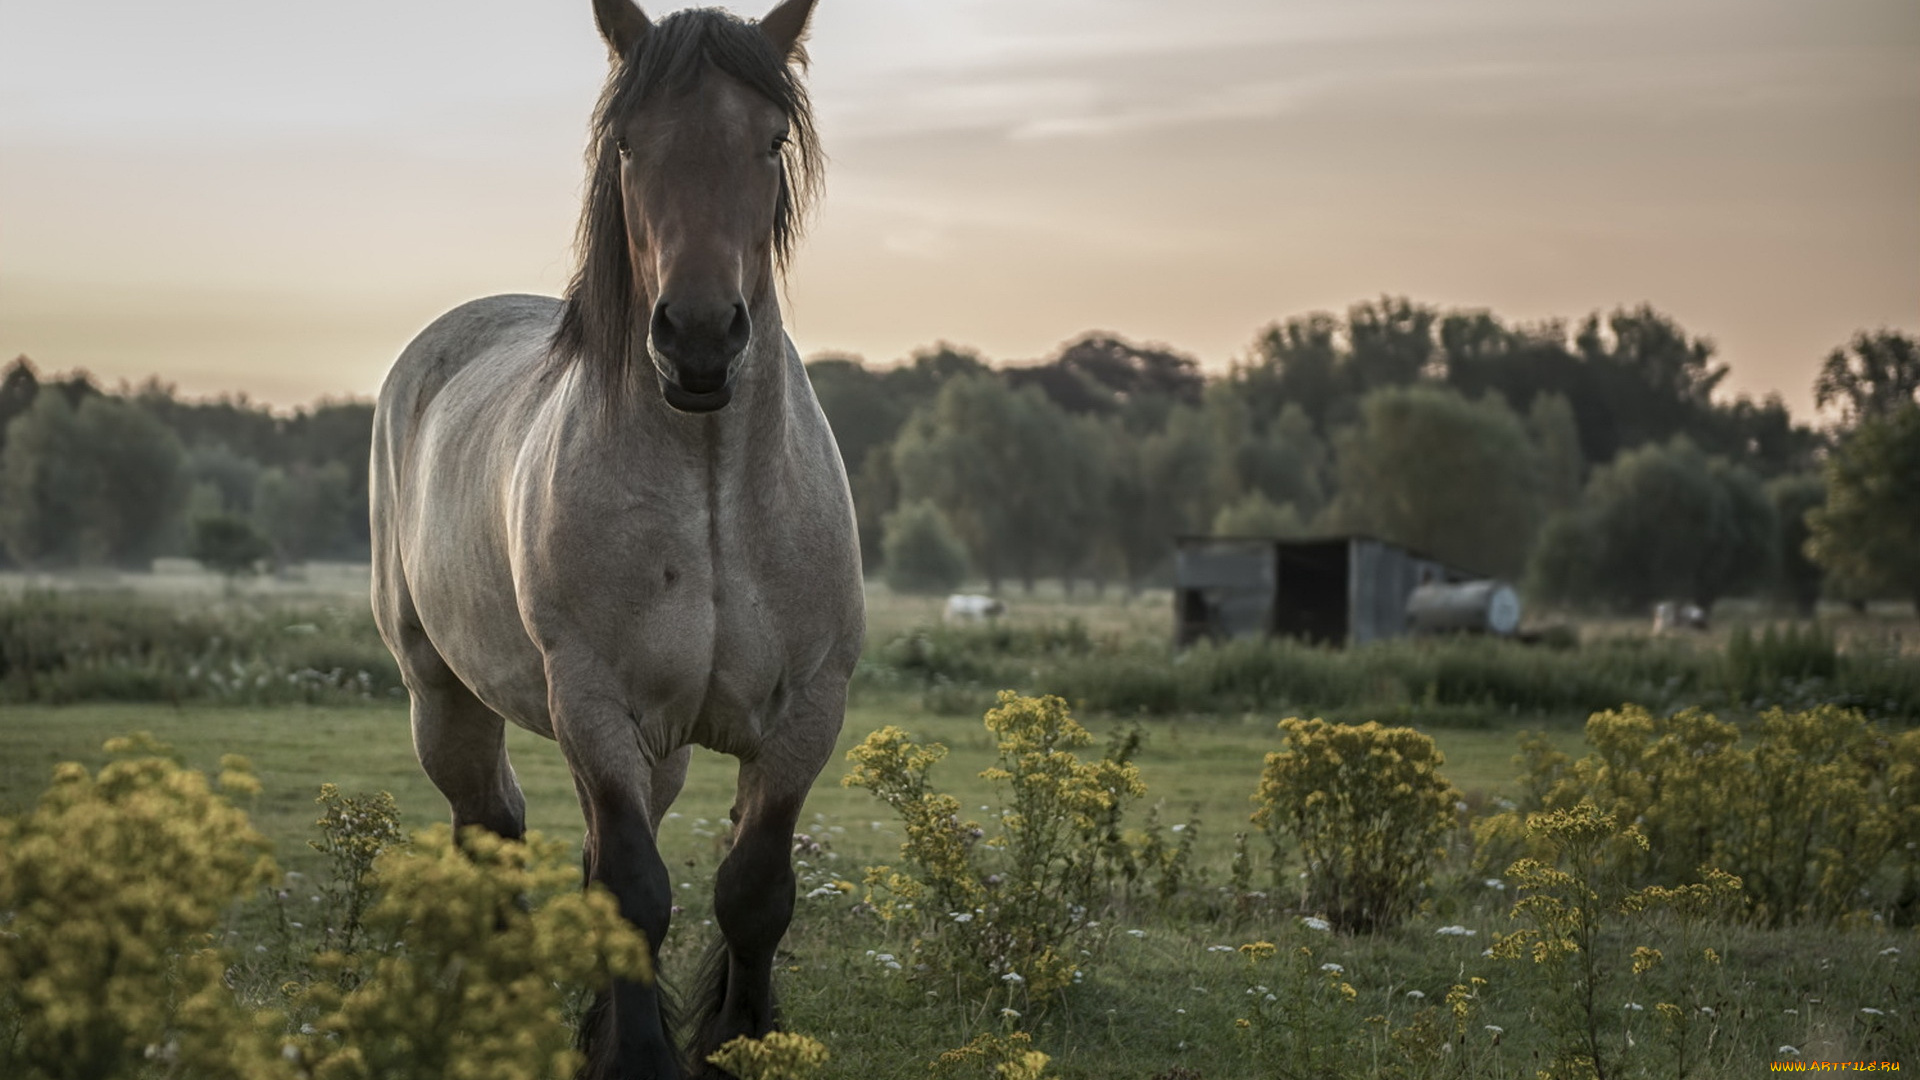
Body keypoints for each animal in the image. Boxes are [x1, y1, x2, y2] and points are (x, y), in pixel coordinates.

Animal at [368, 4, 864, 1068]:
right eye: (630, 144)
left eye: (771, 141)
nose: (700, 339)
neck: (712, 492)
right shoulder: (594, 704)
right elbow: (634, 893)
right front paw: (638, 1055)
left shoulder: (806, 714)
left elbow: (754, 893)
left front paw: (737, 1041)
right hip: (445, 696)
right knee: (490, 827)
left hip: (657, 747)